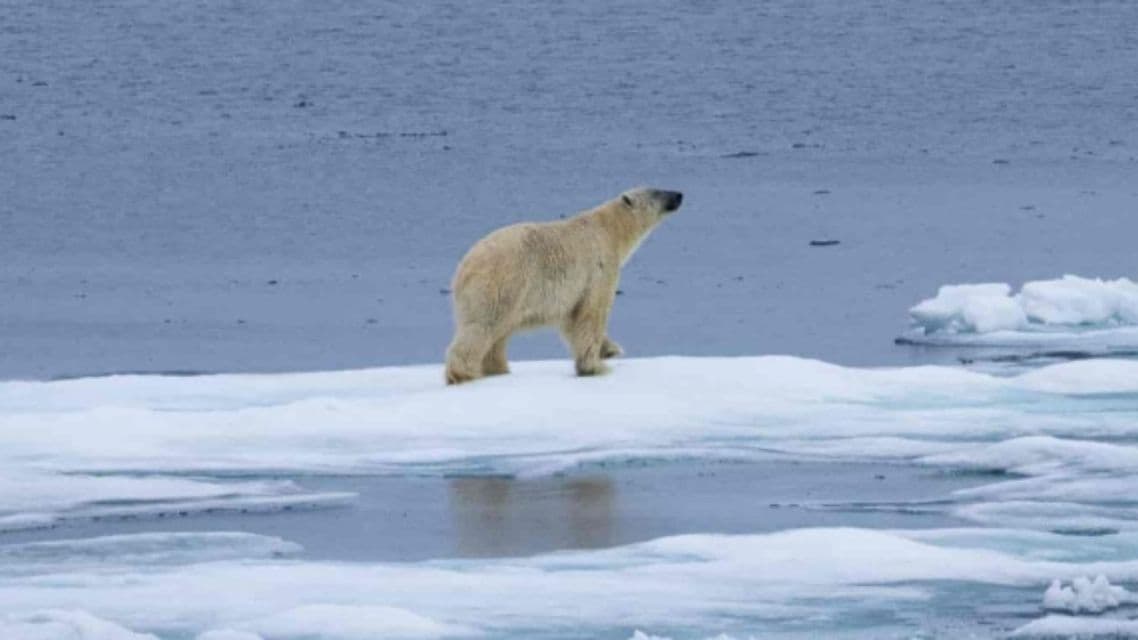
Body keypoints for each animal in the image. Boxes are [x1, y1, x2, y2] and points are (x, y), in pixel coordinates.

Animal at [444, 187, 684, 385]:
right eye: (656, 192)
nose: (679, 195)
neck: (607, 229)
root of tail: (464, 267)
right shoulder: (598, 268)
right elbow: (592, 313)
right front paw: (595, 367)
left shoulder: (571, 293)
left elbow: (572, 318)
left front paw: (610, 349)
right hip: (502, 284)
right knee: (483, 326)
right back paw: (462, 373)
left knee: (498, 334)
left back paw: (499, 369)